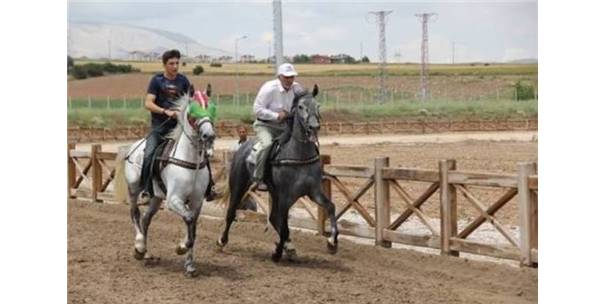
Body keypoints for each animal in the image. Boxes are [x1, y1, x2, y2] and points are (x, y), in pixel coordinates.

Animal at [115, 94, 217, 276]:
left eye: (212, 108)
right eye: (192, 113)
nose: (209, 135)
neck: (190, 162)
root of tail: (132, 148)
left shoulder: (197, 202)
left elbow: (193, 227)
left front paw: (190, 265)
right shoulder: (173, 200)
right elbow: (188, 219)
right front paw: (181, 247)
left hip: (156, 197)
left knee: (146, 218)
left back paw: (146, 253)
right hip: (133, 188)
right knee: (135, 213)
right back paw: (139, 248)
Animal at [217, 84, 342, 260]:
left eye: (318, 105)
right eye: (300, 106)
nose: (314, 127)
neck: (298, 155)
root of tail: (242, 148)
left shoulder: (314, 192)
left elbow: (331, 207)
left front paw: (332, 242)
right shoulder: (285, 196)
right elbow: (284, 226)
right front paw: (277, 252)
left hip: (273, 193)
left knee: (273, 218)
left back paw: (289, 247)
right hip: (239, 185)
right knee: (231, 212)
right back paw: (222, 241)